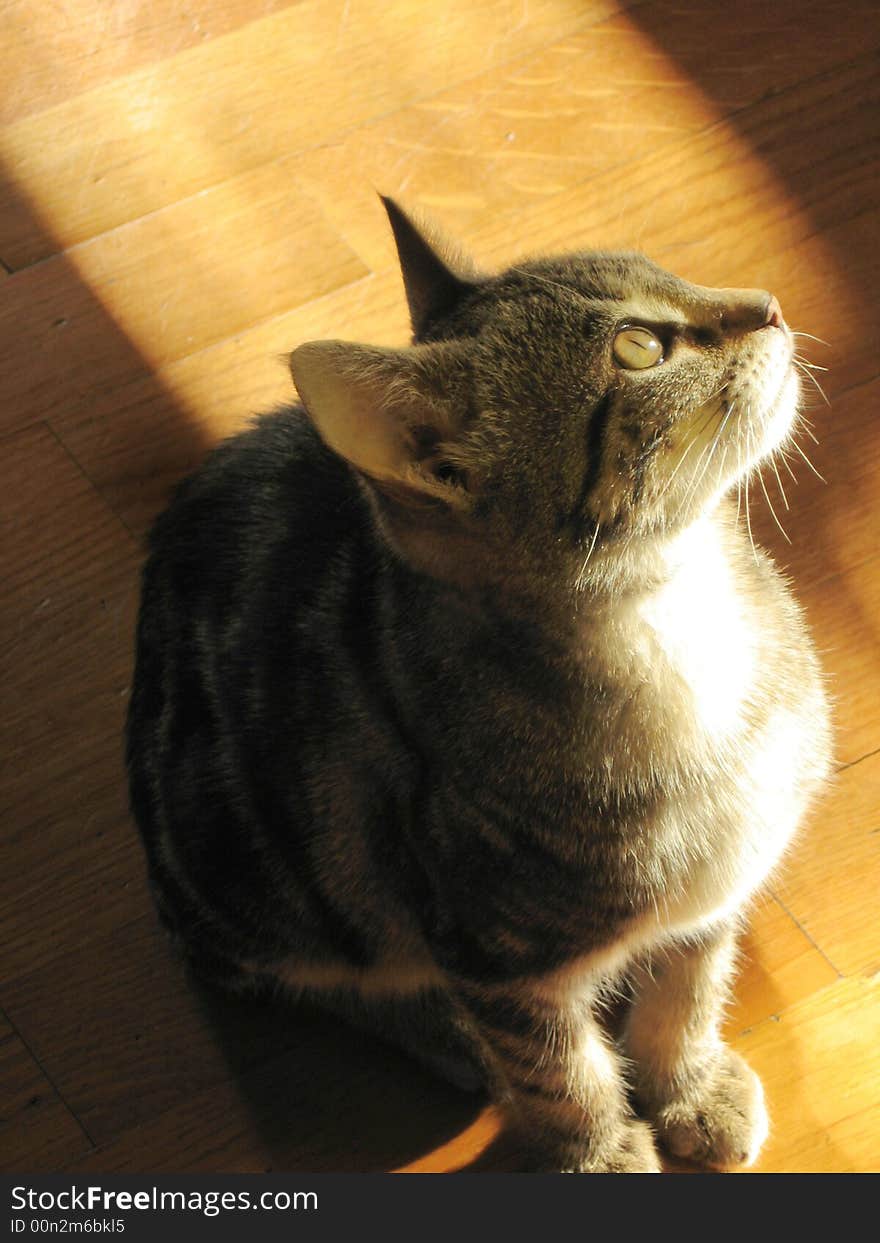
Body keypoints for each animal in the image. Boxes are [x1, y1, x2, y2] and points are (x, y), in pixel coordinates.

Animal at [125, 198, 830, 1168]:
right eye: (639, 348)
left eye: (670, 272)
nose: (769, 304)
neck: (674, 622)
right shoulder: (495, 959)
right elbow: (559, 1071)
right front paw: (601, 1150)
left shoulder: (716, 887)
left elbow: (687, 988)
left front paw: (689, 1082)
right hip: (253, 883)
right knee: (296, 969)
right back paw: (436, 1029)